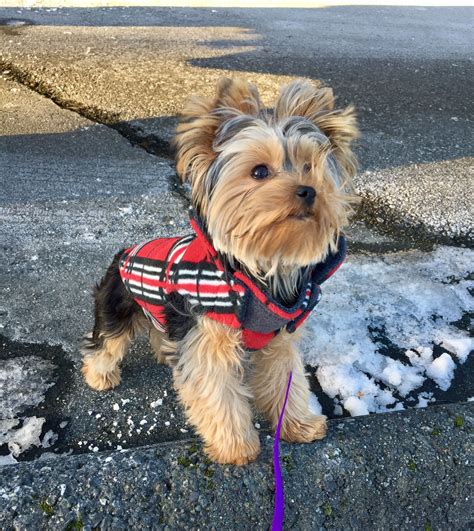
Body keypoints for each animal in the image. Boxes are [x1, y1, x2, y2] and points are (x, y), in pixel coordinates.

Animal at [81, 78, 358, 466]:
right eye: (259, 172)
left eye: (309, 166)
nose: (308, 191)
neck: (259, 272)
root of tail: (123, 253)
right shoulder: (209, 335)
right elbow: (216, 391)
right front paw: (236, 447)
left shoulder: (277, 339)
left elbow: (285, 380)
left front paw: (297, 425)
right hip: (117, 304)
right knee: (106, 342)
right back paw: (100, 375)